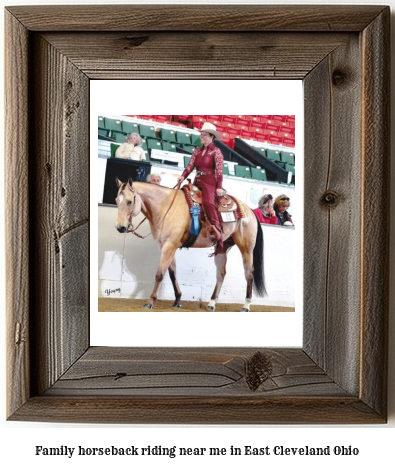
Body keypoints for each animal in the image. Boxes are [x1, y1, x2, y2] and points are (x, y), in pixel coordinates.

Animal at [116, 176, 268, 312]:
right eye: (116, 201)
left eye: (129, 201)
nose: (120, 228)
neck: (166, 206)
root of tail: (249, 211)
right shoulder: (165, 246)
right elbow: (172, 273)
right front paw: (177, 300)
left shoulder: (169, 245)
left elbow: (160, 274)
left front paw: (150, 301)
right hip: (222, 248)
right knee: (221, 274)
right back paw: (212, 303)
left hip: (246, 249)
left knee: (249, 274)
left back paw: (246, 305)